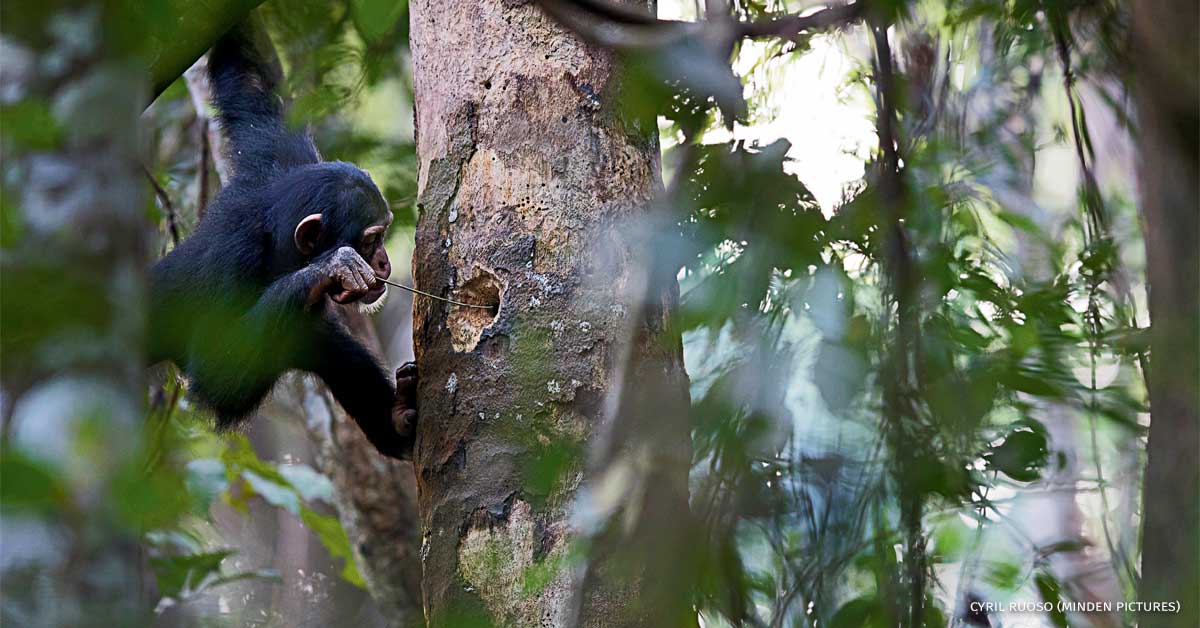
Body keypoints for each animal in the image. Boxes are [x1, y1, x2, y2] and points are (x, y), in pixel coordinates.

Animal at [150, 24, 417, 458]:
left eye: (382, 236)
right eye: (371, 239)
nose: (383, 262)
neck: (280, 248)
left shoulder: (281, 156)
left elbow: (250, 81)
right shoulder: (231, 262)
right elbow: (216, 371)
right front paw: (329, 268)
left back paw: (395, 418)